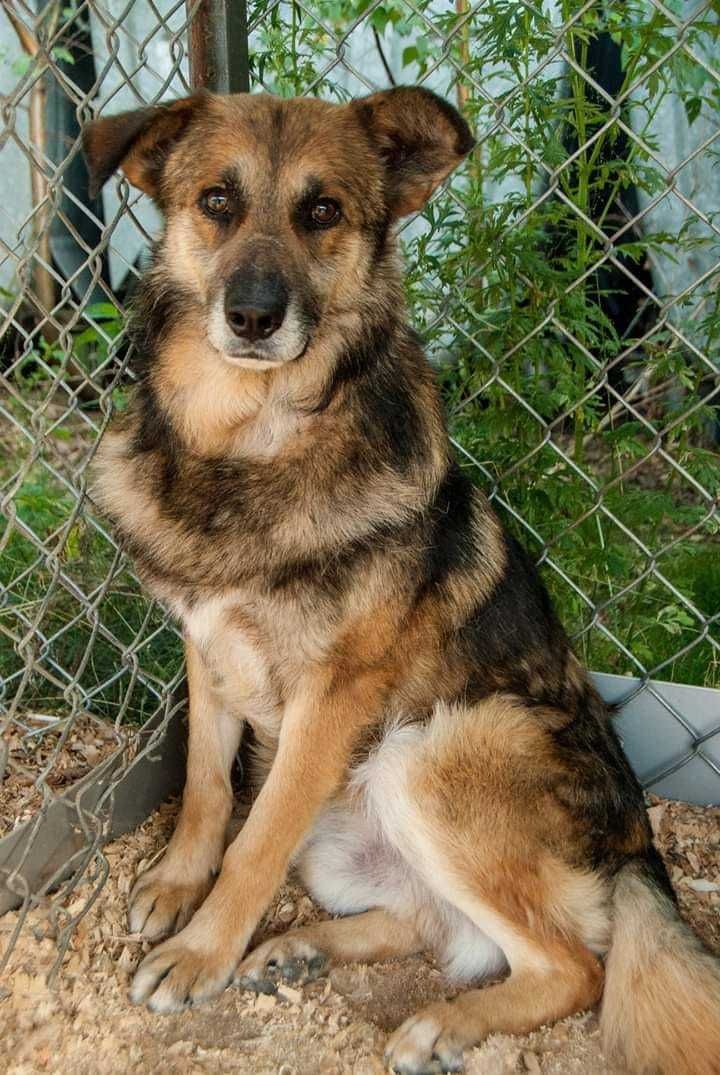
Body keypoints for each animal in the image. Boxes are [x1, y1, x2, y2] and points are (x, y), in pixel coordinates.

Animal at [84, 92, 720, 1075]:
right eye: (216, 200)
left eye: (321, 211)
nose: (253, 315)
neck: (248, 442)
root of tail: (636, 851)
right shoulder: (206, 641)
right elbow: (206, 784)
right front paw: (179, 883)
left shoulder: (331, 699)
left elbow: (254, 841)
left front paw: (199, 950)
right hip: (350, 837)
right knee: (442, 929)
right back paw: (301, 950)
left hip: (427, 751)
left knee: (576, 964)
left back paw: (442, 1025)